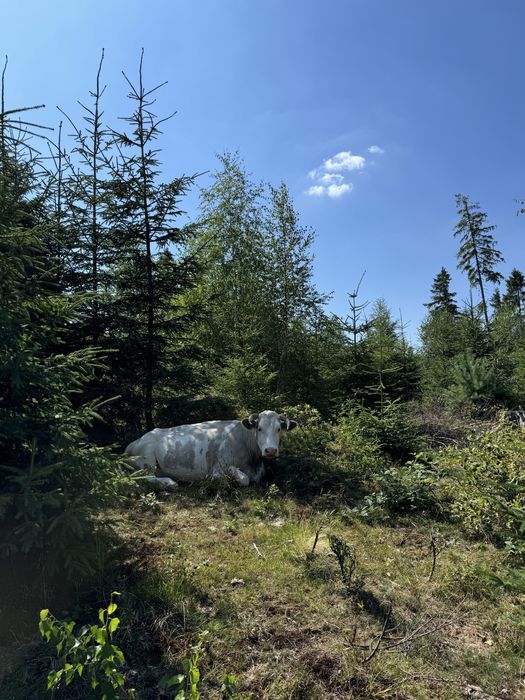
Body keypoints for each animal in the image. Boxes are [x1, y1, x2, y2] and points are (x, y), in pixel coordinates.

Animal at [125, 410, 298, 490]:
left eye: (278, 429)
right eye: (259, 428)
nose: (270, 450)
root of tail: (133, 443)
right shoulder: (219, 467)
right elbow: (244, 479)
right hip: (147, 459)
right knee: (143, 478)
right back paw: (170, 482)